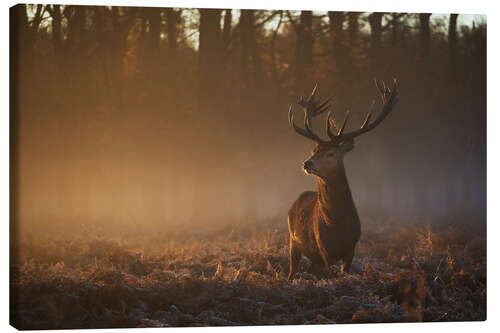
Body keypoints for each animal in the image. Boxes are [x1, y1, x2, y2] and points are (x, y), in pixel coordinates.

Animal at [288, 78, 400, 278]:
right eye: (314, 150)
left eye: (331, 153)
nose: (307, 163)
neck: (337, 226)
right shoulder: (324, 250)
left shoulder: (351, 249)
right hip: (293, 241)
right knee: (292, 271)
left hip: (312, 255)